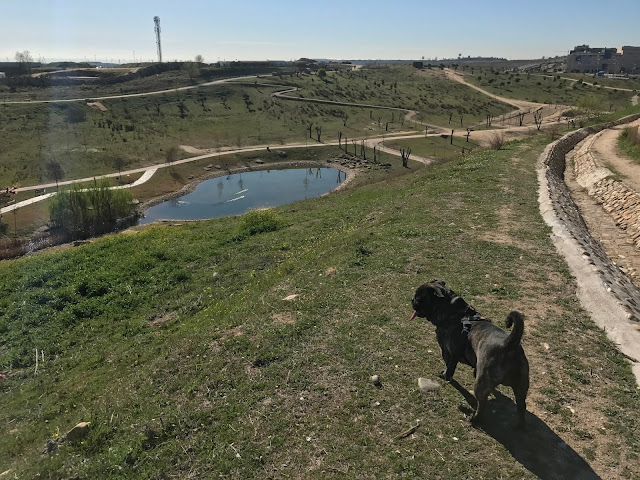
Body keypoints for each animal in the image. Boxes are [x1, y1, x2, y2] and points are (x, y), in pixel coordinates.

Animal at [410, 280, 528, 426]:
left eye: (419, 299)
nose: (412, 300)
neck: (453, 312)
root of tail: (507, 344)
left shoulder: (447, 351)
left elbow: (449, 367)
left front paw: (444, 375)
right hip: (522, 386)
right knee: (521, 406)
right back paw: (520, 425)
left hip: (480, 385)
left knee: (482, 404)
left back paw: (473, 418)